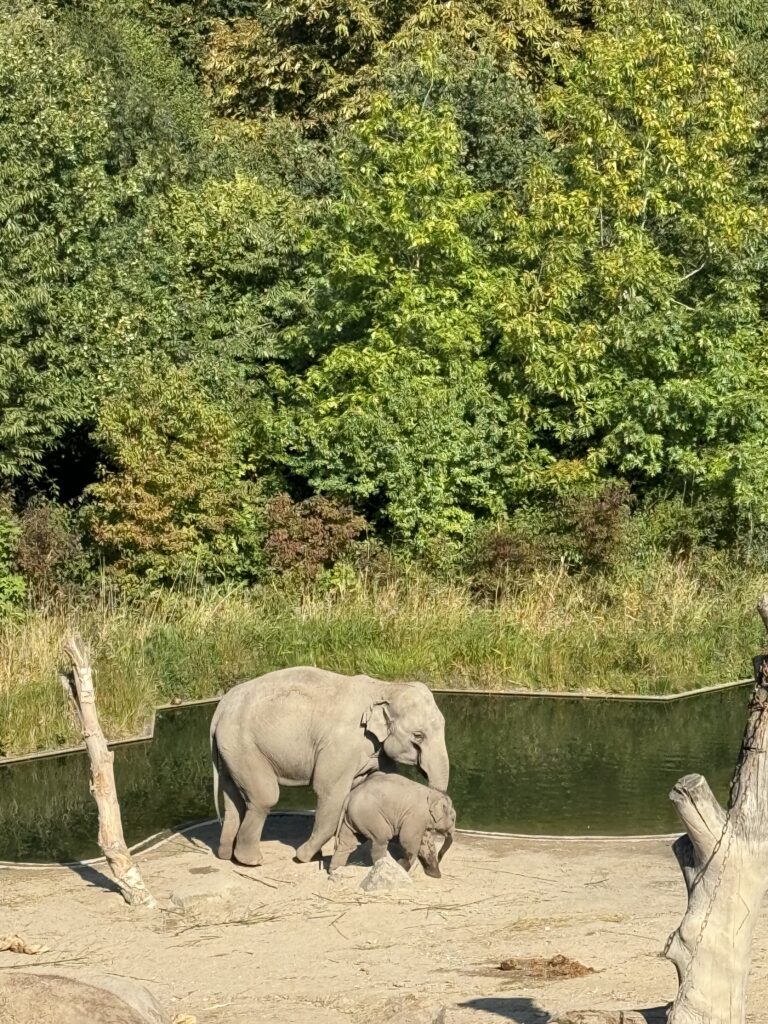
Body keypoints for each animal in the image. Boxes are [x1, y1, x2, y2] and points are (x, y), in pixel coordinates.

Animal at [210, 667, 450, 868]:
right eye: (418, 736)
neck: (384, 687)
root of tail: (221, 706)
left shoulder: (376, 749)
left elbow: (382, 782)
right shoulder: (340, 745)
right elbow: (330, 793)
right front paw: (303, 857)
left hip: (230, 751)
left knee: (233, 798)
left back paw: (226, 855)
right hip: (244, 745)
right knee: (264, 798)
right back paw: (251, 861)